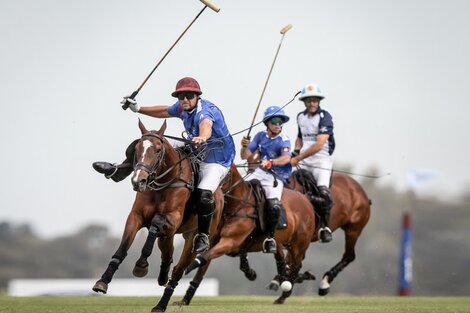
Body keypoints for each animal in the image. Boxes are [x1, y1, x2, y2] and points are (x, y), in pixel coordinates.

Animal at [185, 163, 316, 302]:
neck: (235, 205)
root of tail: (306, 200)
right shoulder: (216, 242)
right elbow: (202, 268)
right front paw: (185, 299)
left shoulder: (229, 242)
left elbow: (204, 256)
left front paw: (189, 267)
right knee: (285, 262)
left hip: (298, 246)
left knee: (296, 267)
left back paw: (284, 295)